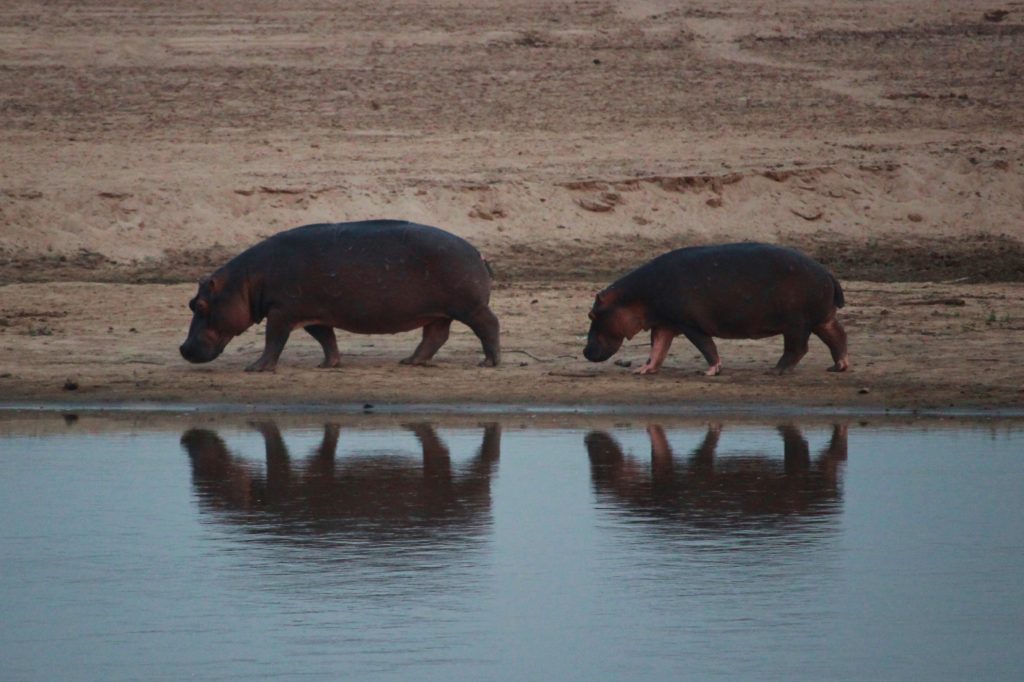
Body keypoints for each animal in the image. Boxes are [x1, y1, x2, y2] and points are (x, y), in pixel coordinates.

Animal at [179, 220, 500, 371]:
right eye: (191, 303)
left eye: (199, 304)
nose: (183, 348)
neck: (245, 280)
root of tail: (477, 251)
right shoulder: (313, 314)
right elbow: (326, 338)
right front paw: (328, 365)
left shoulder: (281, 311)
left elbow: (274, 340)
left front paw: (255, 368)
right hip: (439, 312)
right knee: (435, 336)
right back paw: (410, 361)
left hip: (470, 307)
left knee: (489, 326)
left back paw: (489, 363)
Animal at [583, 243, 848, 375]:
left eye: (592, 314)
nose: (585, 351)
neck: (633, 297)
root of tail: (828, 273)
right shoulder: (664, 322)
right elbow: (658, 348)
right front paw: (643, 369)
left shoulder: (689, 323)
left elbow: (706, 346)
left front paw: (711, 371)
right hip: (821, 319)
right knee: (837, 336)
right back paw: (838, 366)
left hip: (796, 323)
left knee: (798, 348)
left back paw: (777, 370)